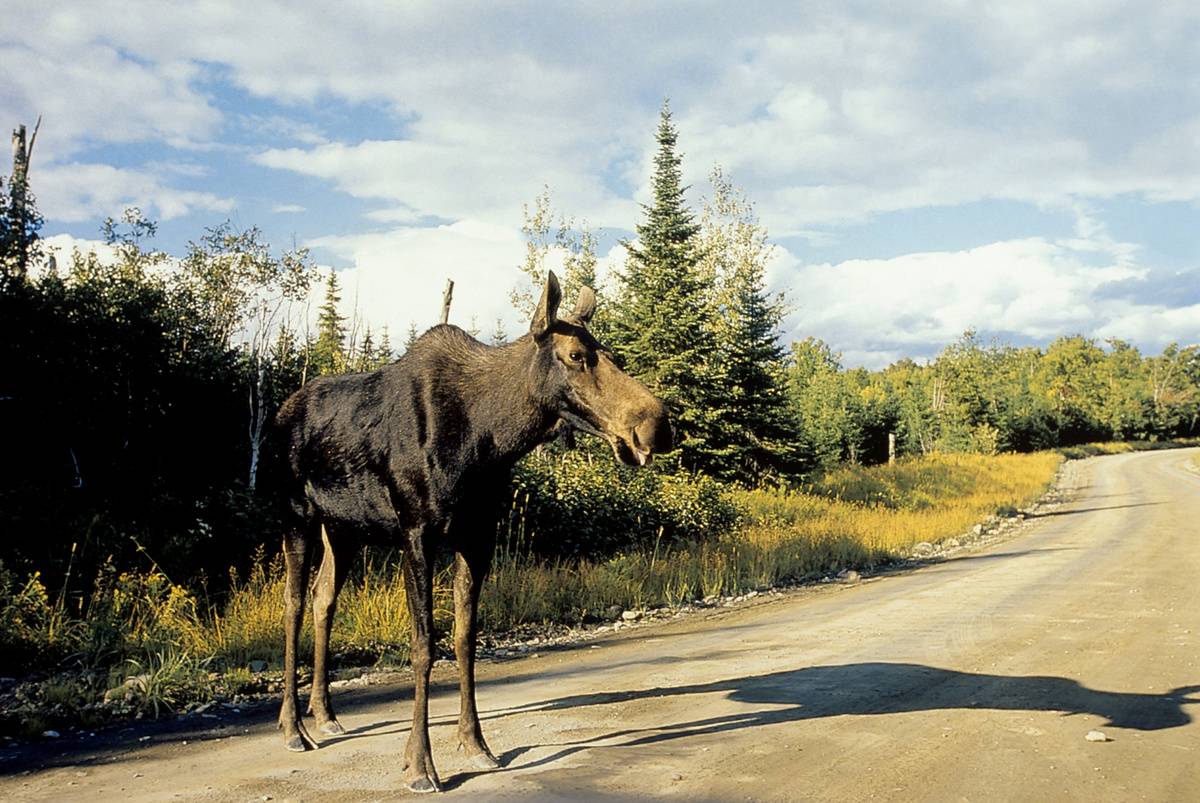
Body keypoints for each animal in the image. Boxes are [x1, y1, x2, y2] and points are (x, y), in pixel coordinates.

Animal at [265, 271, 671, 792]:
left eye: (612, 354)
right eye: (576, 356)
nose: (657, 425)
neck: (489, 440)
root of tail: (279, 414)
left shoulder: (477, 536)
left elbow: (465, 638)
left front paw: (475, 743)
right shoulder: (417, 532)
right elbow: (423, 646)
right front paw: (421, 764)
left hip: (344, 527)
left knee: (323, 598)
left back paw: (325, 714)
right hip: (295, 515)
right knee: (293, 603)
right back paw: (292, 727)